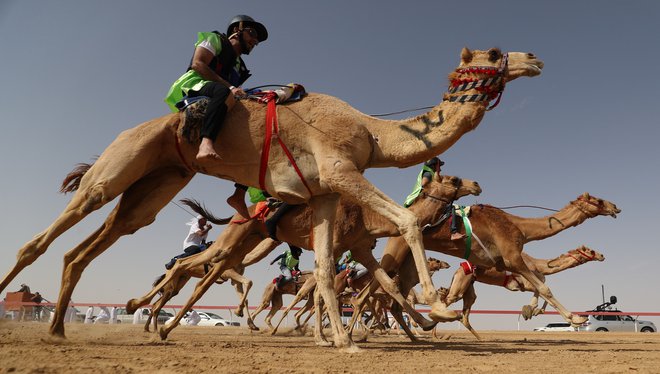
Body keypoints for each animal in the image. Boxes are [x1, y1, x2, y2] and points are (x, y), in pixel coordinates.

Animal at [1, 47, 540, 348]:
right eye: (493, 52)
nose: (533, 60)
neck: (372, 131)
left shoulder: (323, 194)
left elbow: (326, 267)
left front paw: (344, 341)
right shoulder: (341, 170)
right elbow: (405, 225)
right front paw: (439, 309)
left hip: (157, 183)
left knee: (94, 243)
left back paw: (61, 329)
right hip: (119, 165)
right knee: (55, 229)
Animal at [356, 193, 620, 330]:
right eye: (598, 200)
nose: (615, 206)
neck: (521, 228)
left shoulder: (511, 267)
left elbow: (540, 289)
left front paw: (530, 310)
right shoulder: (513, 259)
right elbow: (544, 288)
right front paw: (576, 317)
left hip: (407, 259)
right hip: (398, 249)